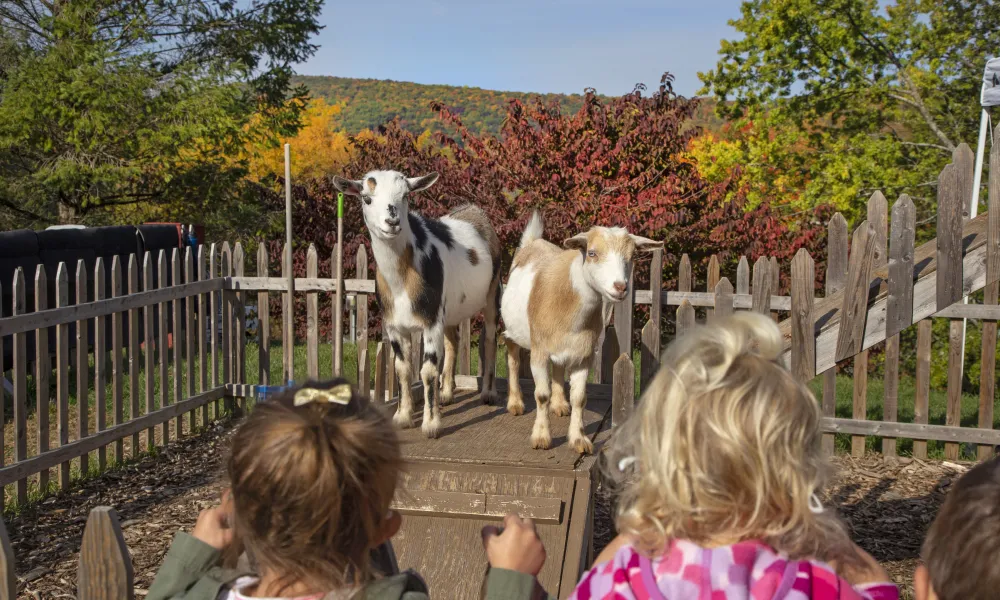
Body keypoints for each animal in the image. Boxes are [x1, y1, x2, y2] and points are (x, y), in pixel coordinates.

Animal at [334, 169, 500, 436]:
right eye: (366, 198)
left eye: (405, 196)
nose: (392, 222)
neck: (402, 278)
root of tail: (475, 211)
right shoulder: (394, 325)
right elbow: (402, 368)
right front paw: (402, 417)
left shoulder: (431, 322)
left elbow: (427, 370)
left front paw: (431, 424)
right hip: (450, 309)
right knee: (453, 340)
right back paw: (446, 394)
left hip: (494, 290)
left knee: (490, 338)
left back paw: (488, 393)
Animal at [504, 213, 660, 452]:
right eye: (592, 253)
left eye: (632, 255)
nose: (620, 287)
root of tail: (533, 242)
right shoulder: (539, 352)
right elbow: (541, 395)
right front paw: (541, 438)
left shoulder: (584, 355)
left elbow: (579, 398)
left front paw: (579, 439)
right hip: (513, 331)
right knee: (513, 361)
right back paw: (515, 403)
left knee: (559, 368)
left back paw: (560, 405)